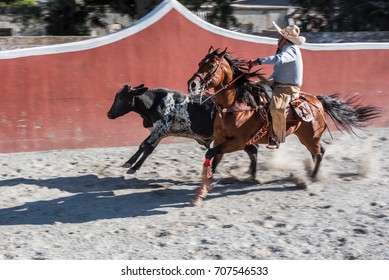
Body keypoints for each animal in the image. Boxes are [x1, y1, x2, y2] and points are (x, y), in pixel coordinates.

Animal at [107, 83, 258, 176]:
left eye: (121, 97)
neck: (154, 103)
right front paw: (134, 167)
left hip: (236, 137)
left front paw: (129, 163)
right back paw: (251, 175)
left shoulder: (161, 128)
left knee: (252, 150)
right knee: (252, 150)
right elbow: (148, 148)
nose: (109, 114)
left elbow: (144, 144)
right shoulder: (159, 132)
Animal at [186, 46, 380, 206]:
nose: (192, 84)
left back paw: (311, 179)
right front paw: (202, 191)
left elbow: (211, 154)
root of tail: (317, 100)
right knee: (314, 153)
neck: (237, 104)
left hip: (310, 137)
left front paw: (202, 191)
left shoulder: (237, 142)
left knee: (319, 152)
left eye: (211, 65)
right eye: (199, 63)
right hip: (306, 137)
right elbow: (214, 159)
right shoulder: (221, 139)